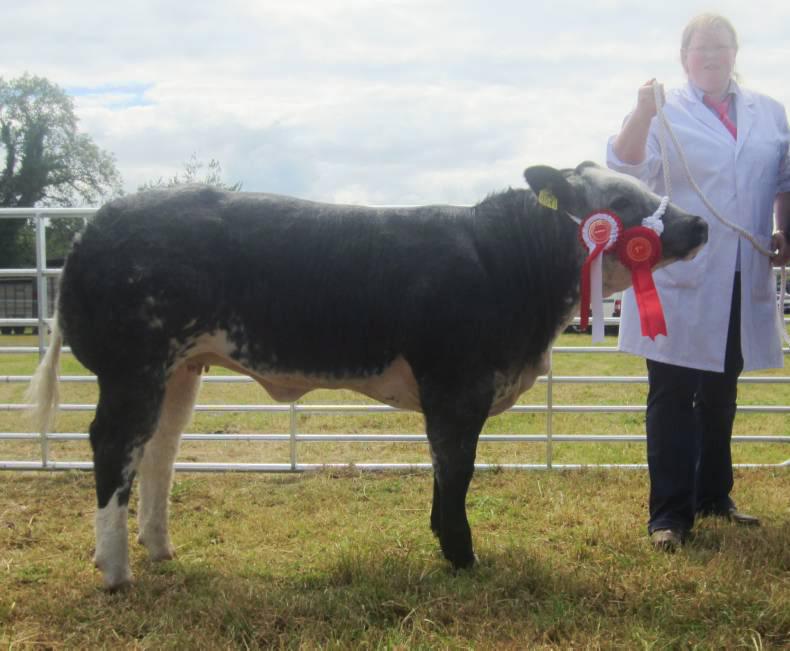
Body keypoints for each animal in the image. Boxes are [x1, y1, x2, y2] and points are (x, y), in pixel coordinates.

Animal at [27, 161, 707, 590]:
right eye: (621, 203)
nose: (699, 224)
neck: (504, 261)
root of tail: (97, 224)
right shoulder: (457, 385)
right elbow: (456, 472)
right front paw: (462, 556)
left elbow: (444, 473)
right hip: (133, 366)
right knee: (114, 447)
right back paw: (116, 571)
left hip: (180, 369)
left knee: (159, 452)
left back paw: (159, 548)